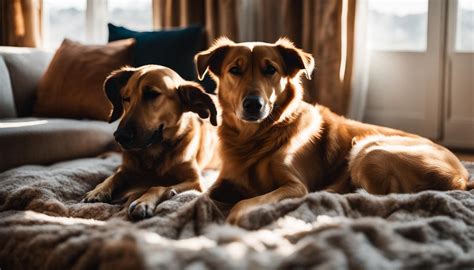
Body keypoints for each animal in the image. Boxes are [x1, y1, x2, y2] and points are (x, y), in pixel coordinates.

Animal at [83, 65, 220, 219]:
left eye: (152, 94)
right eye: (125, 98)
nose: (120, 136)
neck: (154, 151)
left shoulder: (196, 182)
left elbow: (158, 186)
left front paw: (144, 201)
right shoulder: (126, 169)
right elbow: (114, 176)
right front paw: (99, 190)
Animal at [194, 37, 472, 225]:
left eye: (270, 69)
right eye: (235, 70)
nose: (253, 104)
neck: (254, 139)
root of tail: (462, 177)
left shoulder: (295, 186)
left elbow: (245, 203)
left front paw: (232, 218)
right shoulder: (221, 182)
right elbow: (201, 197)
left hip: (369, 149)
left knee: (381, 198)